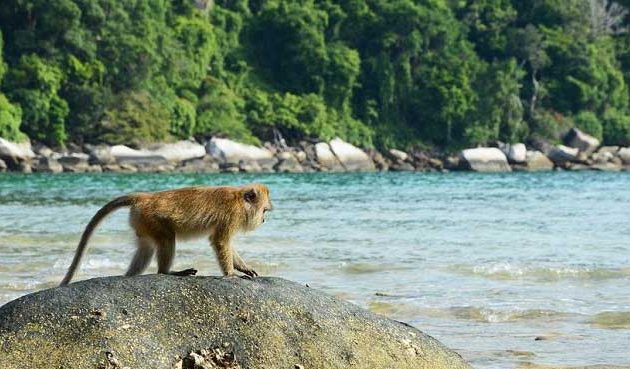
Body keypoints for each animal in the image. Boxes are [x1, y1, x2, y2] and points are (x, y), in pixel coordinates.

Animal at [59, 183, 274, 284]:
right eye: (264, 210)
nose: (264, 220)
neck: (239, 200)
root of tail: (144, 197)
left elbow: (225, 243)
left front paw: (243, 268)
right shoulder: (230, 216)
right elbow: (220, 241)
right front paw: (231, 274)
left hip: (141, 221)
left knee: (146, 247)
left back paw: (130, 275)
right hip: (151, 219)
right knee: (167, 239)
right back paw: (167, 272)